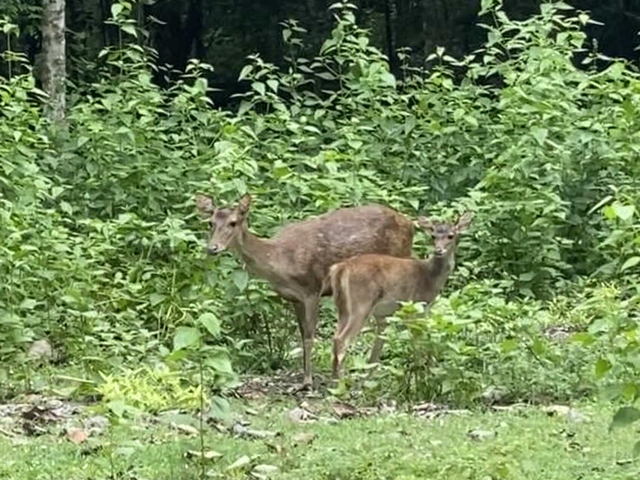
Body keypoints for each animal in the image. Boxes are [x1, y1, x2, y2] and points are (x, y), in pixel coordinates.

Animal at [195, 193, 414, 389]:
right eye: (210, 223)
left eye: (233, 222)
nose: (212, 248)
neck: (280, 260)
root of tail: (410, 224)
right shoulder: (294, 298)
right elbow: (301, 336)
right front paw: (305, 377)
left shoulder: (312, 289)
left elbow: (309, 336)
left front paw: (307, 382)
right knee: (383, 322)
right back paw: (369, 372)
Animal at [327, 211, 473, 380]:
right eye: (433, 236)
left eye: (450, 235)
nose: (438, 250)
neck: (429, 276)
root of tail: (341, 268)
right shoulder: (416, 305)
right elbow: (419, 339)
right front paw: (422, 373)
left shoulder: (388, 314)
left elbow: (379, 346)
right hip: (361, 303)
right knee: (341, 340)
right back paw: (342, 381)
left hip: (343, 306)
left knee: (335, 337)